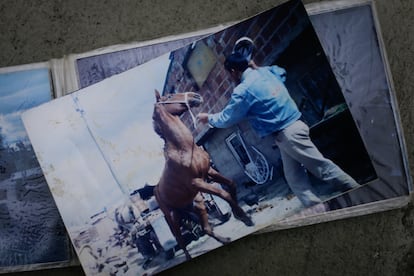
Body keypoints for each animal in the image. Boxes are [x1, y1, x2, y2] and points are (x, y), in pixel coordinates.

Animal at [154, 89, 254, 260]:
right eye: (168, 96)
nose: (195, 96)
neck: (184, 149)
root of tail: (156, 190)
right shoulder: (197, 182)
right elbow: (223, 194)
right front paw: (245, 218)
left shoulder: (209, 172)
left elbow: (231, 184)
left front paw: (238, 214)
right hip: (172, 218)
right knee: (180, 240)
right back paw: (188, 257)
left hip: (196, 205)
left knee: (205, 228)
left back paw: (225, 240)